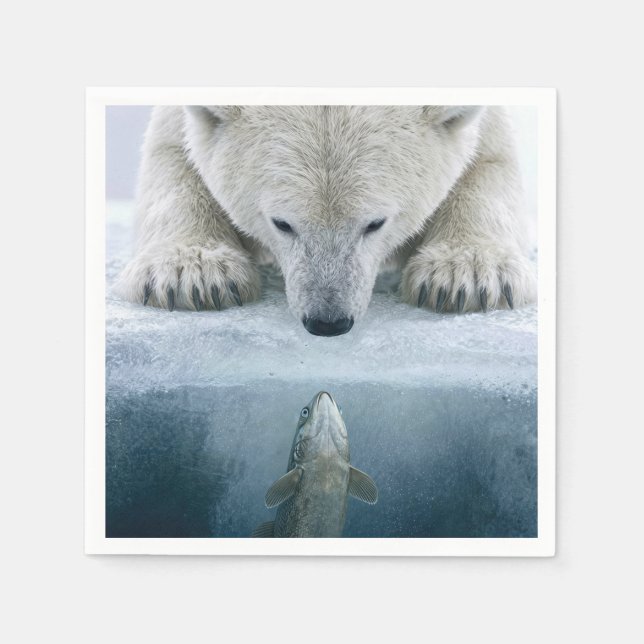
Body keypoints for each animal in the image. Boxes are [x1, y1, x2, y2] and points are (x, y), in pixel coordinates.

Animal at [116, 105, 536, 336]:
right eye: (282, 223)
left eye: (375, 223)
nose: (328, 322)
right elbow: (171, 157)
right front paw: (194, 275)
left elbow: (491, 163)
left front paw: (467, 277)